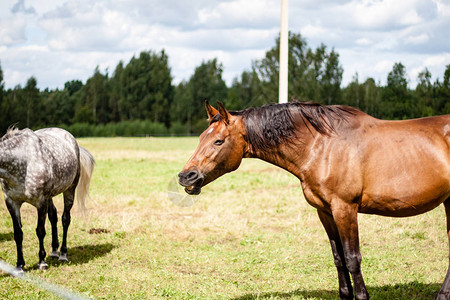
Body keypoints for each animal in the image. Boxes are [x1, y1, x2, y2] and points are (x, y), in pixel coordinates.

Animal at [0, 127, 95, 274]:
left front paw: (42, 262)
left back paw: (63, 254)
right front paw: (19, 265)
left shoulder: (41, 202)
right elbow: (18, 233)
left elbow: (40, 231)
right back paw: (54, 251)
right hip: (50, 197)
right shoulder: (11, 202)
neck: (22, 162)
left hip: (69, 190)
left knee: (65, 219)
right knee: (53, 216)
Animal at [178, 101, 450, 300]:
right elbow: (338, 258)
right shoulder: (326, 211)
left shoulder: (345, 209)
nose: (185, 176)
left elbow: (352, 258)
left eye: (219, 140)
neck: (322, 147)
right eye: (201, 137)